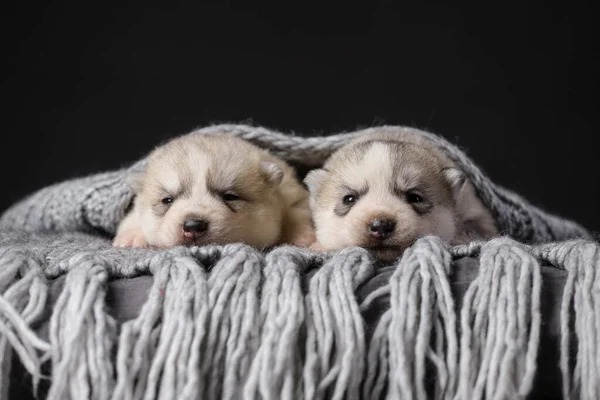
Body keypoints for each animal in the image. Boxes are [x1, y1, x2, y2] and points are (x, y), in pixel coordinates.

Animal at [114, 133, 316, 248]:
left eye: (230, 197)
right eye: (167, 200)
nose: (193, 226)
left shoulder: (292, 192)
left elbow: (296, 211)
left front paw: (302, 235)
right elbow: (133, 217)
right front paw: (131, 235)